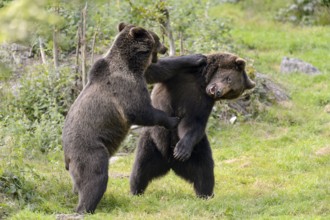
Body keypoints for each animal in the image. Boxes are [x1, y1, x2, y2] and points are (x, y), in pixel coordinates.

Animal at [62, 22, 180, 213]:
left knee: (79, 183)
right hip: (90, 149)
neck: (131, 64)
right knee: (94, 177)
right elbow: (141, 111)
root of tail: (66, 155)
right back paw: (86, 207)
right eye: (157, 38)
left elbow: (160, 71)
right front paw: (172, 119)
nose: (164, 48)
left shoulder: (142, 74)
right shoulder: (126, 87)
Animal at [130, 52, 256, 198]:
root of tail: (169, 163)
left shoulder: (203, 101)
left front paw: (181, 150)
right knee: (141, 167)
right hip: (152, 140)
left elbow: (193, 122)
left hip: (198, 148)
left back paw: (205, 194)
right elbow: (155, 69)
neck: (202, 82)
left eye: (232, 92)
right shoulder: (181, 77)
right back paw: (135, 191)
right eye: (229, 78)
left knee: (204, 169)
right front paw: (195, 58)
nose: (217, 92)